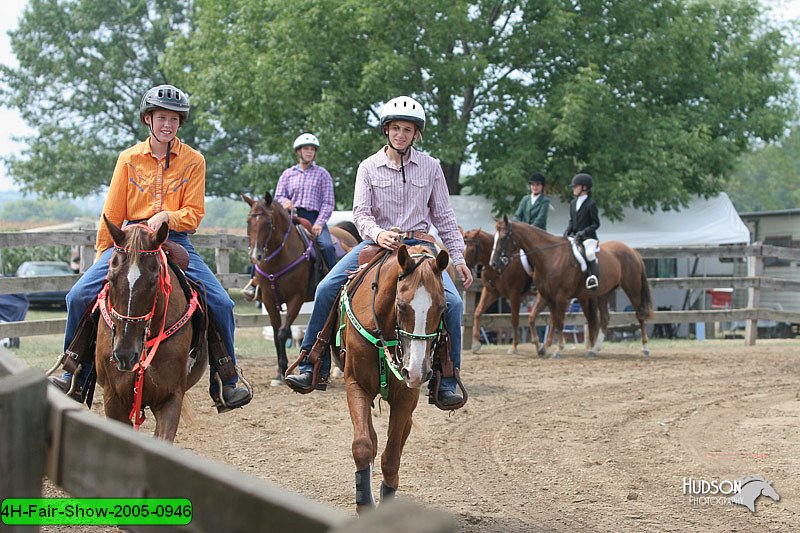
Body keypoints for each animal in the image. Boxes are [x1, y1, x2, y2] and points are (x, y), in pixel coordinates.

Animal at [241, 191, 360, 382]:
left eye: (268, 223)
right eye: (248, 222)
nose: (255, 256)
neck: (278, 259)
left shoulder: (295, 298)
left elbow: (283, 332)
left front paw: (283, 370)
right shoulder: (268, 298)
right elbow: (276, 333)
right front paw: (279, 372)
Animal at [490, 216, 652, 358]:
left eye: (503, 237)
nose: (494, 264)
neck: (550, 256)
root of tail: (632, 251)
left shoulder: (561, 297)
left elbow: (559, 322)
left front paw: (558, 350)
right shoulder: (545, 295)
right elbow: (535, 318)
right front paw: (541, 347)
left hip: (632, 289)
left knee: (640, 315)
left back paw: (645, 348)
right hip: (604, 293)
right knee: (605, 318)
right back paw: (594, 350)